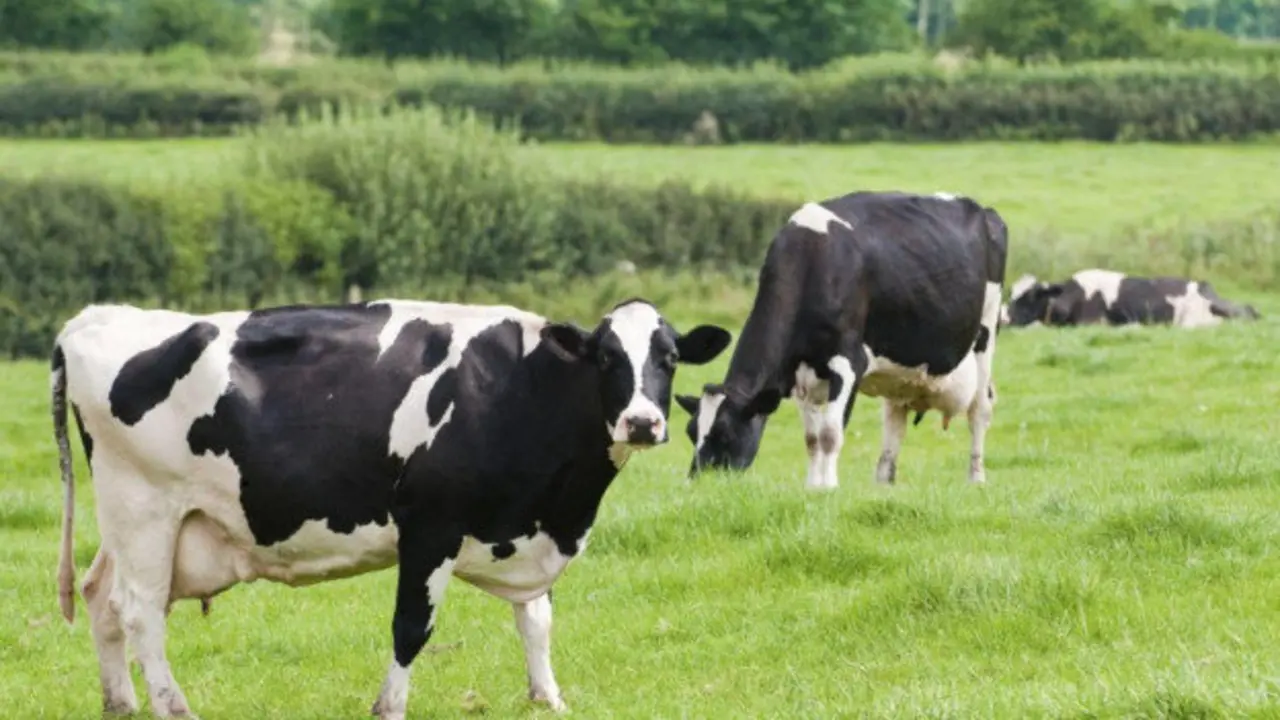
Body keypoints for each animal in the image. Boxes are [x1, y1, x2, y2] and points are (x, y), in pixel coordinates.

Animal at [51, 297, 731, 719]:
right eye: (608, 357)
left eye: (669, 358)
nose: (641, 422)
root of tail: (95, 318)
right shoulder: (431, 525)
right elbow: (412, 627)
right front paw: (391, 705)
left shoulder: (524, 523)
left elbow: (536, 619)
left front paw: (548, 698)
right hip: (144, 507)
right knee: (140, 613)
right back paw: (174, 707)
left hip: (137, 524)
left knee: (99, 596)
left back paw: (121, 703)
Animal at [675, 191, 1008, 489]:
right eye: (691, 432)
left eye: (725, 434)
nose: (696, 483)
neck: (811, 263)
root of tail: (983, 210)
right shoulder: (799, 374)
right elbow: (811, 439)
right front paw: (813, 487)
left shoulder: (848, 363)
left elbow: (830, 434)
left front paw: (829, 488)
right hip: (904, 373)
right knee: (895, 419)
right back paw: (883, 482)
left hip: (986, 332)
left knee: (979, 410)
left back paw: (976, 478)